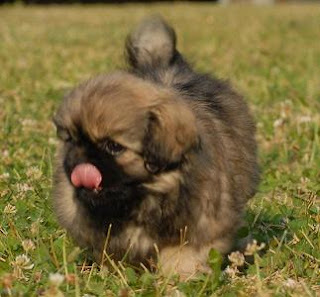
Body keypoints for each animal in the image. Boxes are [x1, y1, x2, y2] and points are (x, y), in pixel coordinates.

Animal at [52, 16, 258, 278]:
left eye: (113, 146)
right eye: (71, 139)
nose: (81, 157)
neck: (146, 195)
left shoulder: (198, 224)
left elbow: (183, 254)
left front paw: (181, 277)